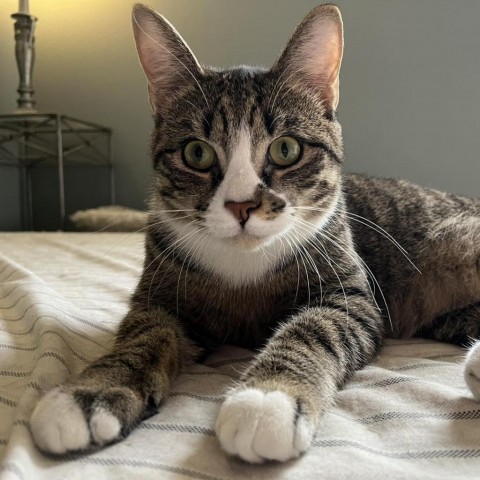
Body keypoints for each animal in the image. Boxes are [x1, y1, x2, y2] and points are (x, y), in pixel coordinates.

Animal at [30, 1, 480, 464]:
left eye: (286, 149)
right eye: (196, 153)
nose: (241, 204)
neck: (243, 267)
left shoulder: (351, 297)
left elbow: (314, 329)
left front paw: (266, 400)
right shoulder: (159, 296)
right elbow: (143, 334)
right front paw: (89, 393)